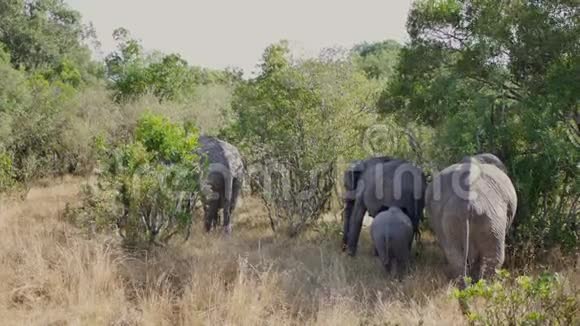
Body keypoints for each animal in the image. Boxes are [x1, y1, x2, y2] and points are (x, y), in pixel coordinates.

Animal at [426, 153, 516, 286]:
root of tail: (467, 204)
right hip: (492, 220)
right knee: (493, 258)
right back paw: (484, 288)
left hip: (454, 220)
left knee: (455, 257)